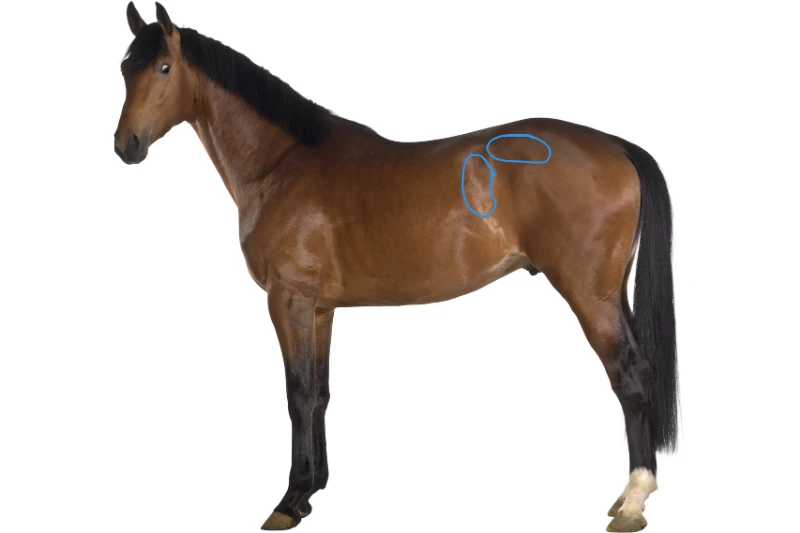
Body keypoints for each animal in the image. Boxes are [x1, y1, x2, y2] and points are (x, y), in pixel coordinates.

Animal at [114, 4, 678, 532]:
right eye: (124, 67)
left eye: (163, 67)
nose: (126, 145)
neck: (283, 164)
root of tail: (616, 146)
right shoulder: (320, 309)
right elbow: (320, 393)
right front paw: (313, 490)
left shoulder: (288, 300)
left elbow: (297, 394)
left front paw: (289, 501)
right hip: (612, 293)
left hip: (590, 296)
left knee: (629, 375)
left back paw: (632, 501)